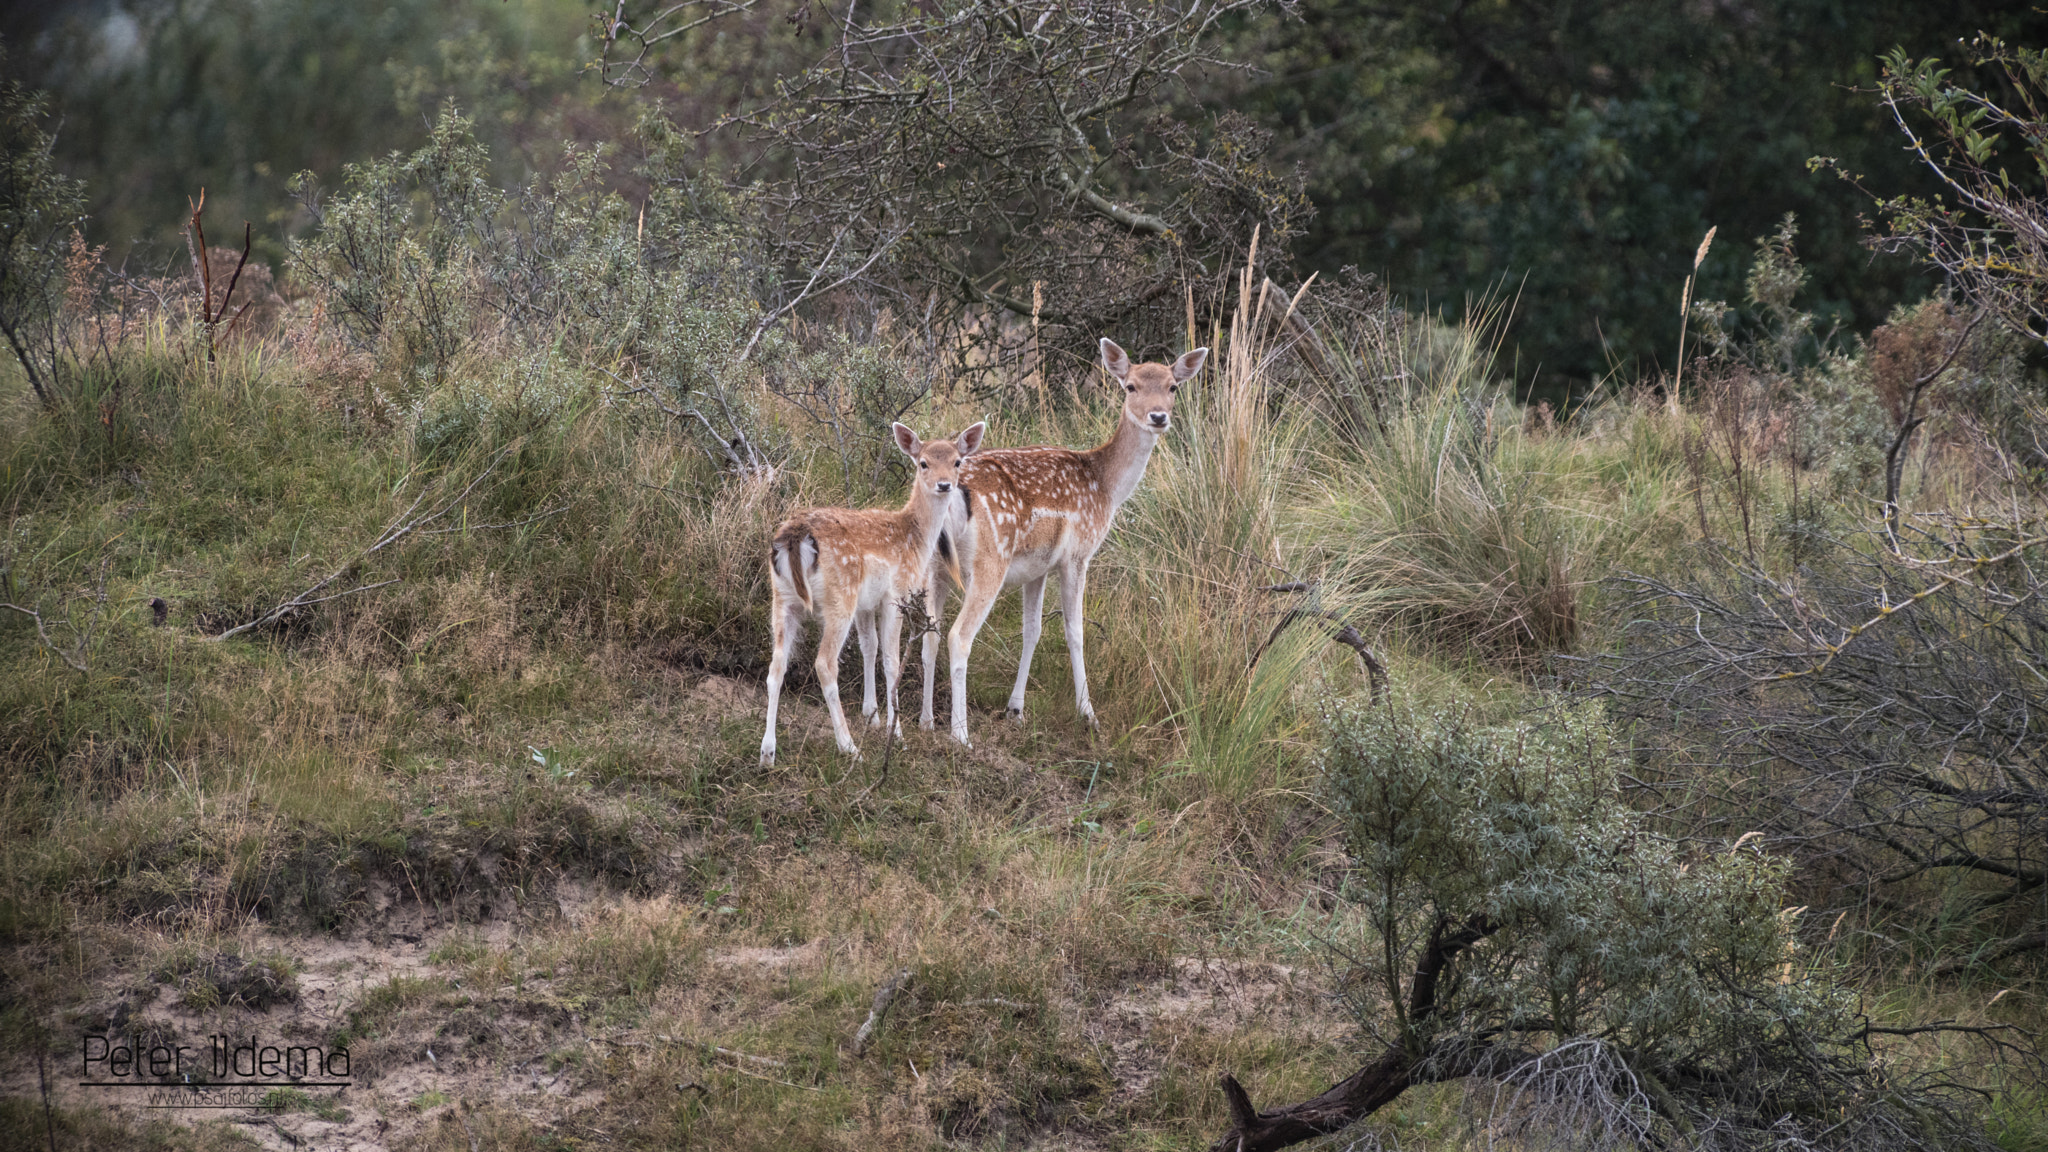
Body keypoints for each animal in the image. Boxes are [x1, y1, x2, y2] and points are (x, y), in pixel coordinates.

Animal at [761, 420, 983, 762]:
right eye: (923, 463)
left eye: (957, 461)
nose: (944, 485)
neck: (914, 539)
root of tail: (795, 537)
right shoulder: (897, 595)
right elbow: (891, 660)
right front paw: (897, 733)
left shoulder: (866, 604)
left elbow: (870, 647)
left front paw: (873, 717)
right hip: (840, 597)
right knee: (824, 664)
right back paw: (849, 747)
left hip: (782, 598)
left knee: (776, 666)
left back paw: (768, 752)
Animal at [921, 336, 1204, 737]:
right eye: (1130, 386)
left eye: (1172, 387)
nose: (1158, 416)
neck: (1105, 487)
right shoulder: (1077, 554)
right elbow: (1075, 631)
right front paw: (1088, 713)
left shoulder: (1036, 567)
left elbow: (1033, 630)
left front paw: (1015, 709)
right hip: (990, 560)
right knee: (959, 636)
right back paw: (960, 735)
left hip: (934, 565)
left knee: (929, 632)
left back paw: (926, 722)